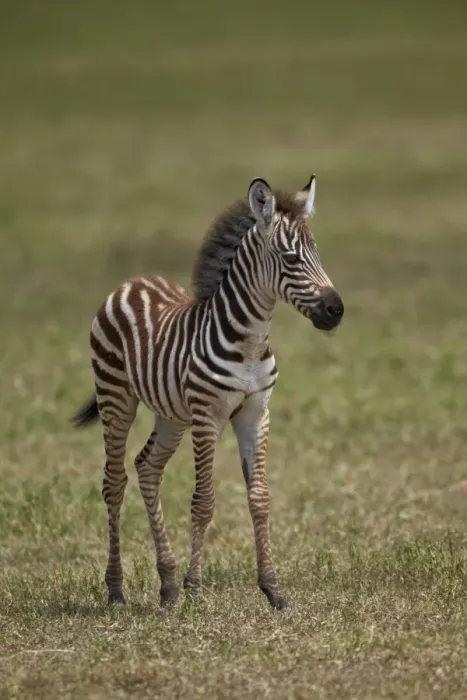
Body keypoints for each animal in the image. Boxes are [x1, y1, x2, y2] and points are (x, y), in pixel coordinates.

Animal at [72, 175, 344, 611]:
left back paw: (166, 582)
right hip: (116, 398)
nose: (336, 311)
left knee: (147, 467)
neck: (249, 343)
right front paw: (195, 588)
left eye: (316, 253)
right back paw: (116, 590)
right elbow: (203, 501)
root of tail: (132, 282)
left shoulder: (256, 413)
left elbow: (260, 499)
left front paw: (273, 589)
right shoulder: (207, 416)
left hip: (171, 416)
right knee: (114, 482)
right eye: (290, 259)